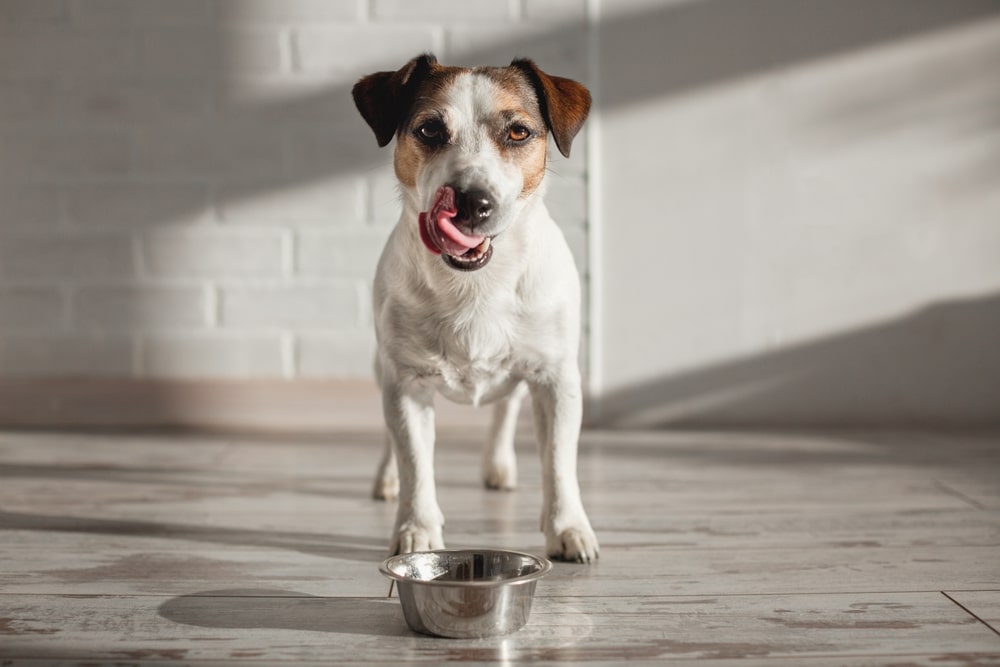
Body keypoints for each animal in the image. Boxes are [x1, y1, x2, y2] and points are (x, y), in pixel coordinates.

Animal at [352, 54, 596, 564]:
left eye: (519, 132)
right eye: (428, 130)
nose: (471, 202)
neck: (476, 283)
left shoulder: (557, 379)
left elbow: (559, 463)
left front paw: (568, 528)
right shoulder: (406, 383)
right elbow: (415, 463)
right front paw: (417, 530)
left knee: (507, 408)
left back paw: (499, 466)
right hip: (382, 367)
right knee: (391, 437)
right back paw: (386, 477)